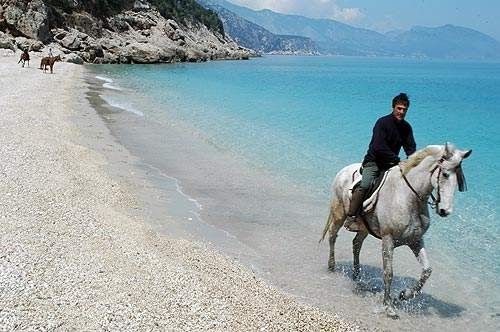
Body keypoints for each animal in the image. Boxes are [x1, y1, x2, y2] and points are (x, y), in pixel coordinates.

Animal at [322, 144, 470, 318]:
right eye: (445, 174)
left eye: (458, 179)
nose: (445, 211)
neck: (408, 198)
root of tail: (343, 171)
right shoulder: (388, 240)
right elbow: (388, 273)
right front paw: (388, 307)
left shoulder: (415, 241)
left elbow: (427, 270)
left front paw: (405, 295)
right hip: (339, 214)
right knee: (333, 236)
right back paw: (331, 266)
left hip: (364, 228)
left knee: (356, 244)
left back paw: (356, 274)